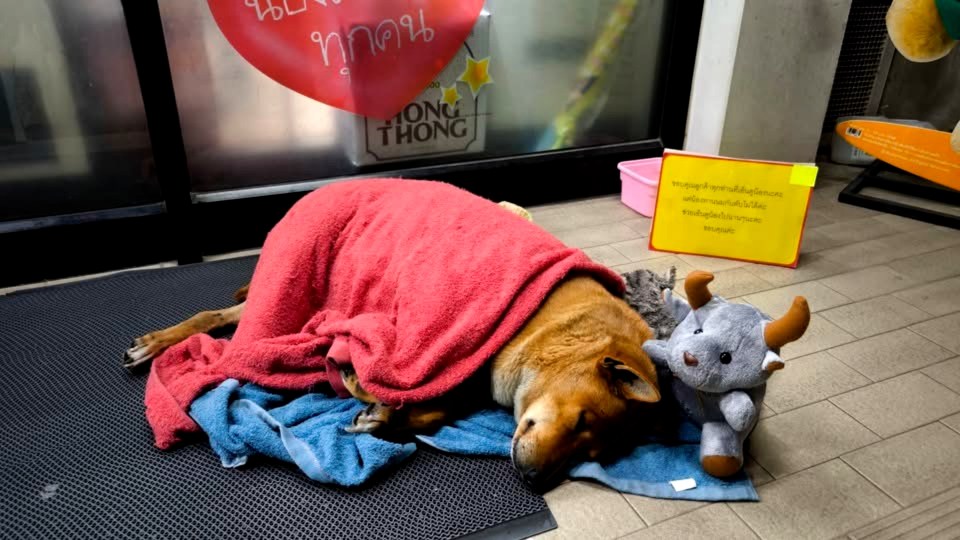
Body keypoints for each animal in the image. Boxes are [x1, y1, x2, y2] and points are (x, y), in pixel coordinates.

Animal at [127, 239, 660, 490]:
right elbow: (394, 384)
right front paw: (361, 387)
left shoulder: (468, 373)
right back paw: (154, 344)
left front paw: (385, 419)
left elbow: (432, 408)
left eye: (590, 452)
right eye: (580, 420)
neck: (557, 327)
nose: (533, 481)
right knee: (220, 318)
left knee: (225, 319)